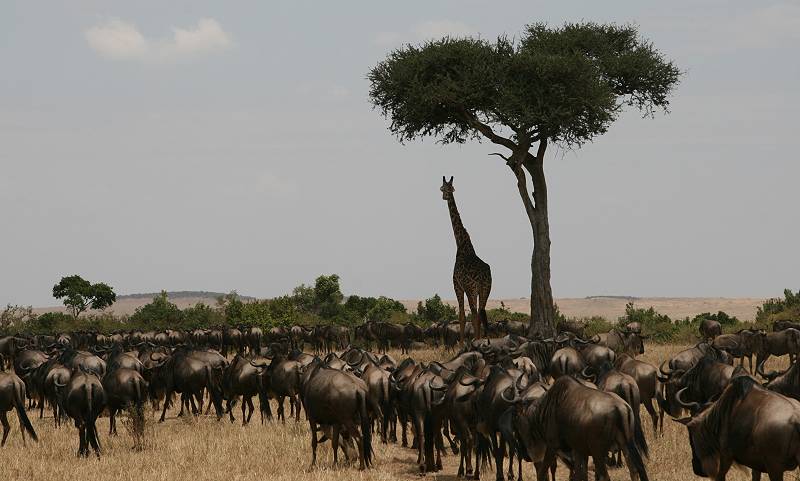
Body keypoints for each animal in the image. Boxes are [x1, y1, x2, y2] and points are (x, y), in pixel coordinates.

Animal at [440, 176, 490, 342]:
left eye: (442, 188)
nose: (444, 196)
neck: (461, 244)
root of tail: (482, 276)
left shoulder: (457, 284)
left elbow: (461, 315)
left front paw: (461, 344)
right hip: (486, 289)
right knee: (480, 312)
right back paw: (479, 340)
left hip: (471, 289)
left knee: (474, 313)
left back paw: (476, 340)